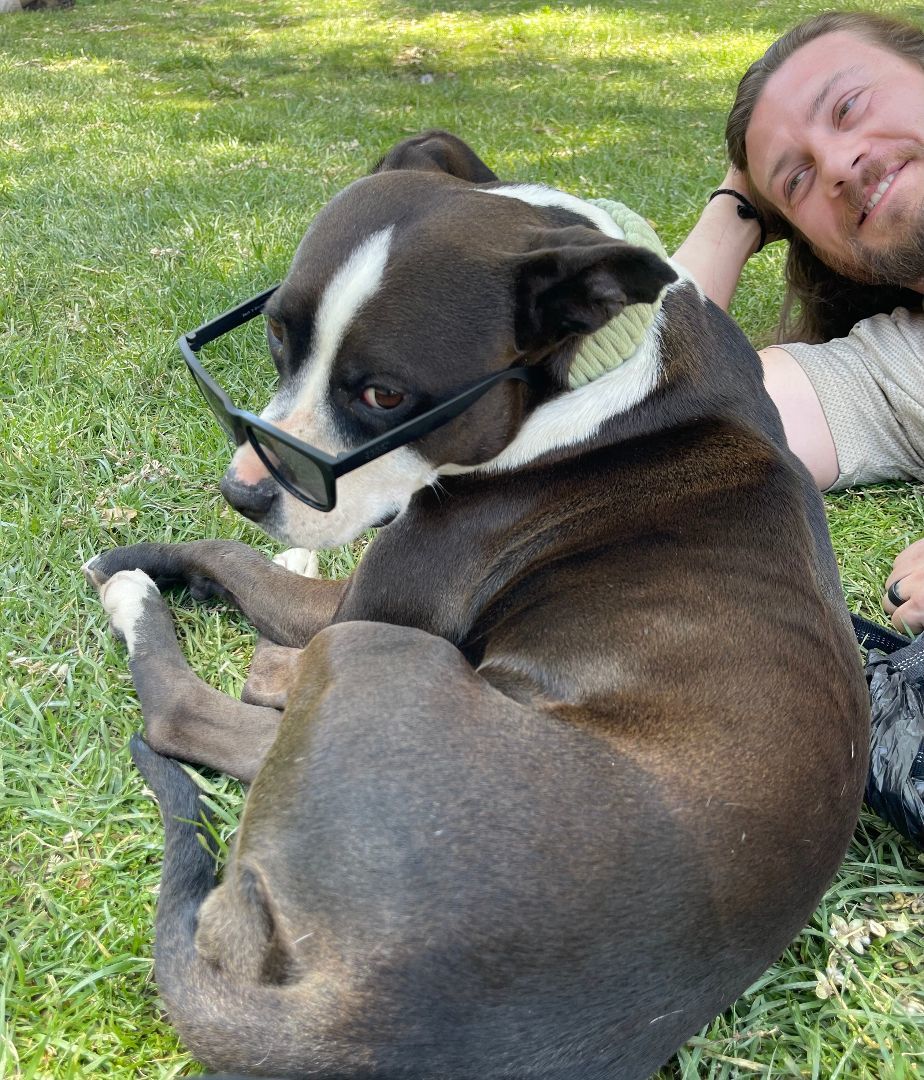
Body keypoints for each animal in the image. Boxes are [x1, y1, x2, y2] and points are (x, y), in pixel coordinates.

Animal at [83, 130, 867, 1075]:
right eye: (274, 340)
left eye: (385, 395)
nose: (245, 491)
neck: (594, 373)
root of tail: (359, 1015)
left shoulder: (353, 609)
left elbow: (231, 558)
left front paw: (152, 558)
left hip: (379, 656)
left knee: (190, 718)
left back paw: (155, 610)